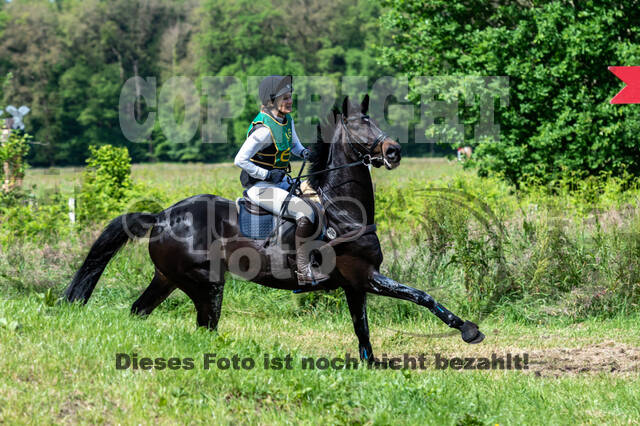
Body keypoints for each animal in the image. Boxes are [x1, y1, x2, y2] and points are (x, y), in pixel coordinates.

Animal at [64, 95, 484, 364]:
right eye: (359, 127)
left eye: (375, 122)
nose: (393, 151)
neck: (343, 209)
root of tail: (163, 216)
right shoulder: (365, 275)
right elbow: (421, 295)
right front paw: (469, 330)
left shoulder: (355, 284)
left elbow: (363, 331)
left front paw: (372, 365)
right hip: (205, 283)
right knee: (204, 325)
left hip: (168, 277)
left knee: (140, 310)